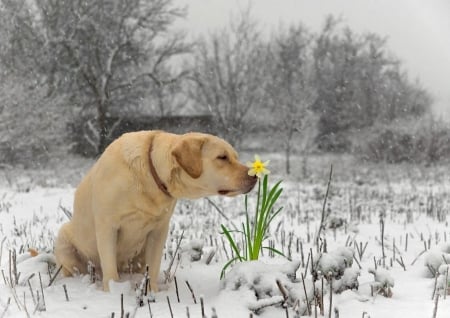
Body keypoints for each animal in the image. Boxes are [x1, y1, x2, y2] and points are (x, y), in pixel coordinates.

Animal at [55, 130, 256, 292]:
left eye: (235, 156)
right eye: (222, 157)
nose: (253, 176)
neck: (150, 175)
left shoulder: (159, 230)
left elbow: (153, 266)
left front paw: (152, 292)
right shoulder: (107, 227)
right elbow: (110, 268)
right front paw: (113, 292)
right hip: (64, 238)